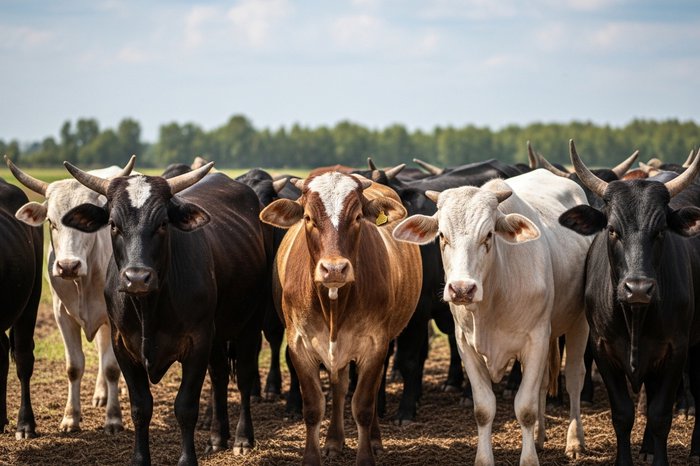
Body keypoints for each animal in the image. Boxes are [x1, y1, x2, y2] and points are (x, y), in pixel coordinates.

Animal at [5, 156, 134, 434]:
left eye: (85, 224)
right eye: (51, 222)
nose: (67, 266)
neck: (83, 280)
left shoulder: (113, 318)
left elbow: (111, 367)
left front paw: (114, 419)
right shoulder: (61, 315)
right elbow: (74, 367)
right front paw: (70, 418)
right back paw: (100, 395)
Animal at [60, 162, 271, 465]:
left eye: (162, 224)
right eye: (113, 224)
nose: (137, 278)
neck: (149, 309)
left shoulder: (197, 343)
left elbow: (185, 407)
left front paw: (187, 460)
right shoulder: (122, 345)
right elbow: (140, 407)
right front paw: (140, 459)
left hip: (250, 323)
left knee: (243, 376)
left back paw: (242, 438)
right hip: (217, 335)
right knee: (219, 377)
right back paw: (217, 437)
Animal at [259, 172, 422, 465]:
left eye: (358, 217)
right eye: (308, 218)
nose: (334, 268)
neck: (333, 306)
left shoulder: (375, 345)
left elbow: (364, 406)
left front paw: (366, 456)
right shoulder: (299, 345)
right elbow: (313, 407)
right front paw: (313, 457)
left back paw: (374, 439)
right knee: (339, 387)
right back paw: (334, 441)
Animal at [393, 167, 592, 464]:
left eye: (488, 235)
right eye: (442, 236)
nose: (462, 289)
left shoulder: (535, 341)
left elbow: (525, 408)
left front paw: (529, 459)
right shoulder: (466, 345)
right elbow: (484, 409)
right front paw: (485, 458)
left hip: (578, 322)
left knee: (574, 379)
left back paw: (574, 441)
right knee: (544, 384)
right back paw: (539, 437)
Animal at [559, 141, 700, 465]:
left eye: (660, 230)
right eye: (612, 229)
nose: (638, 289)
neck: (635, 315)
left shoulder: (676, 349)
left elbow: (660, 415)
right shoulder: (602, 348)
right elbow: (623, 414)